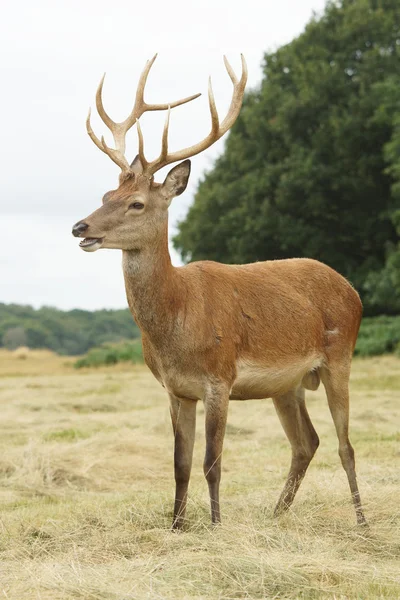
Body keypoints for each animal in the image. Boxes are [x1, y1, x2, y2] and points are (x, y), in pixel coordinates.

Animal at [72, 54, 366, 528]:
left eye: (136, 203)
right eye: (105, 193)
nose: (80, 227)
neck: (177, 319)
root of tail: (352, 289)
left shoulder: (220, 377)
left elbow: (213, 462)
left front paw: (215, 525)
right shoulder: (175, 389)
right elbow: (180, 463)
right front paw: (176, 526)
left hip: (341, 356)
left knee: (345, 445)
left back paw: (361, 521)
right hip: (289, 383)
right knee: (307, 442)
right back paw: (275, 516)